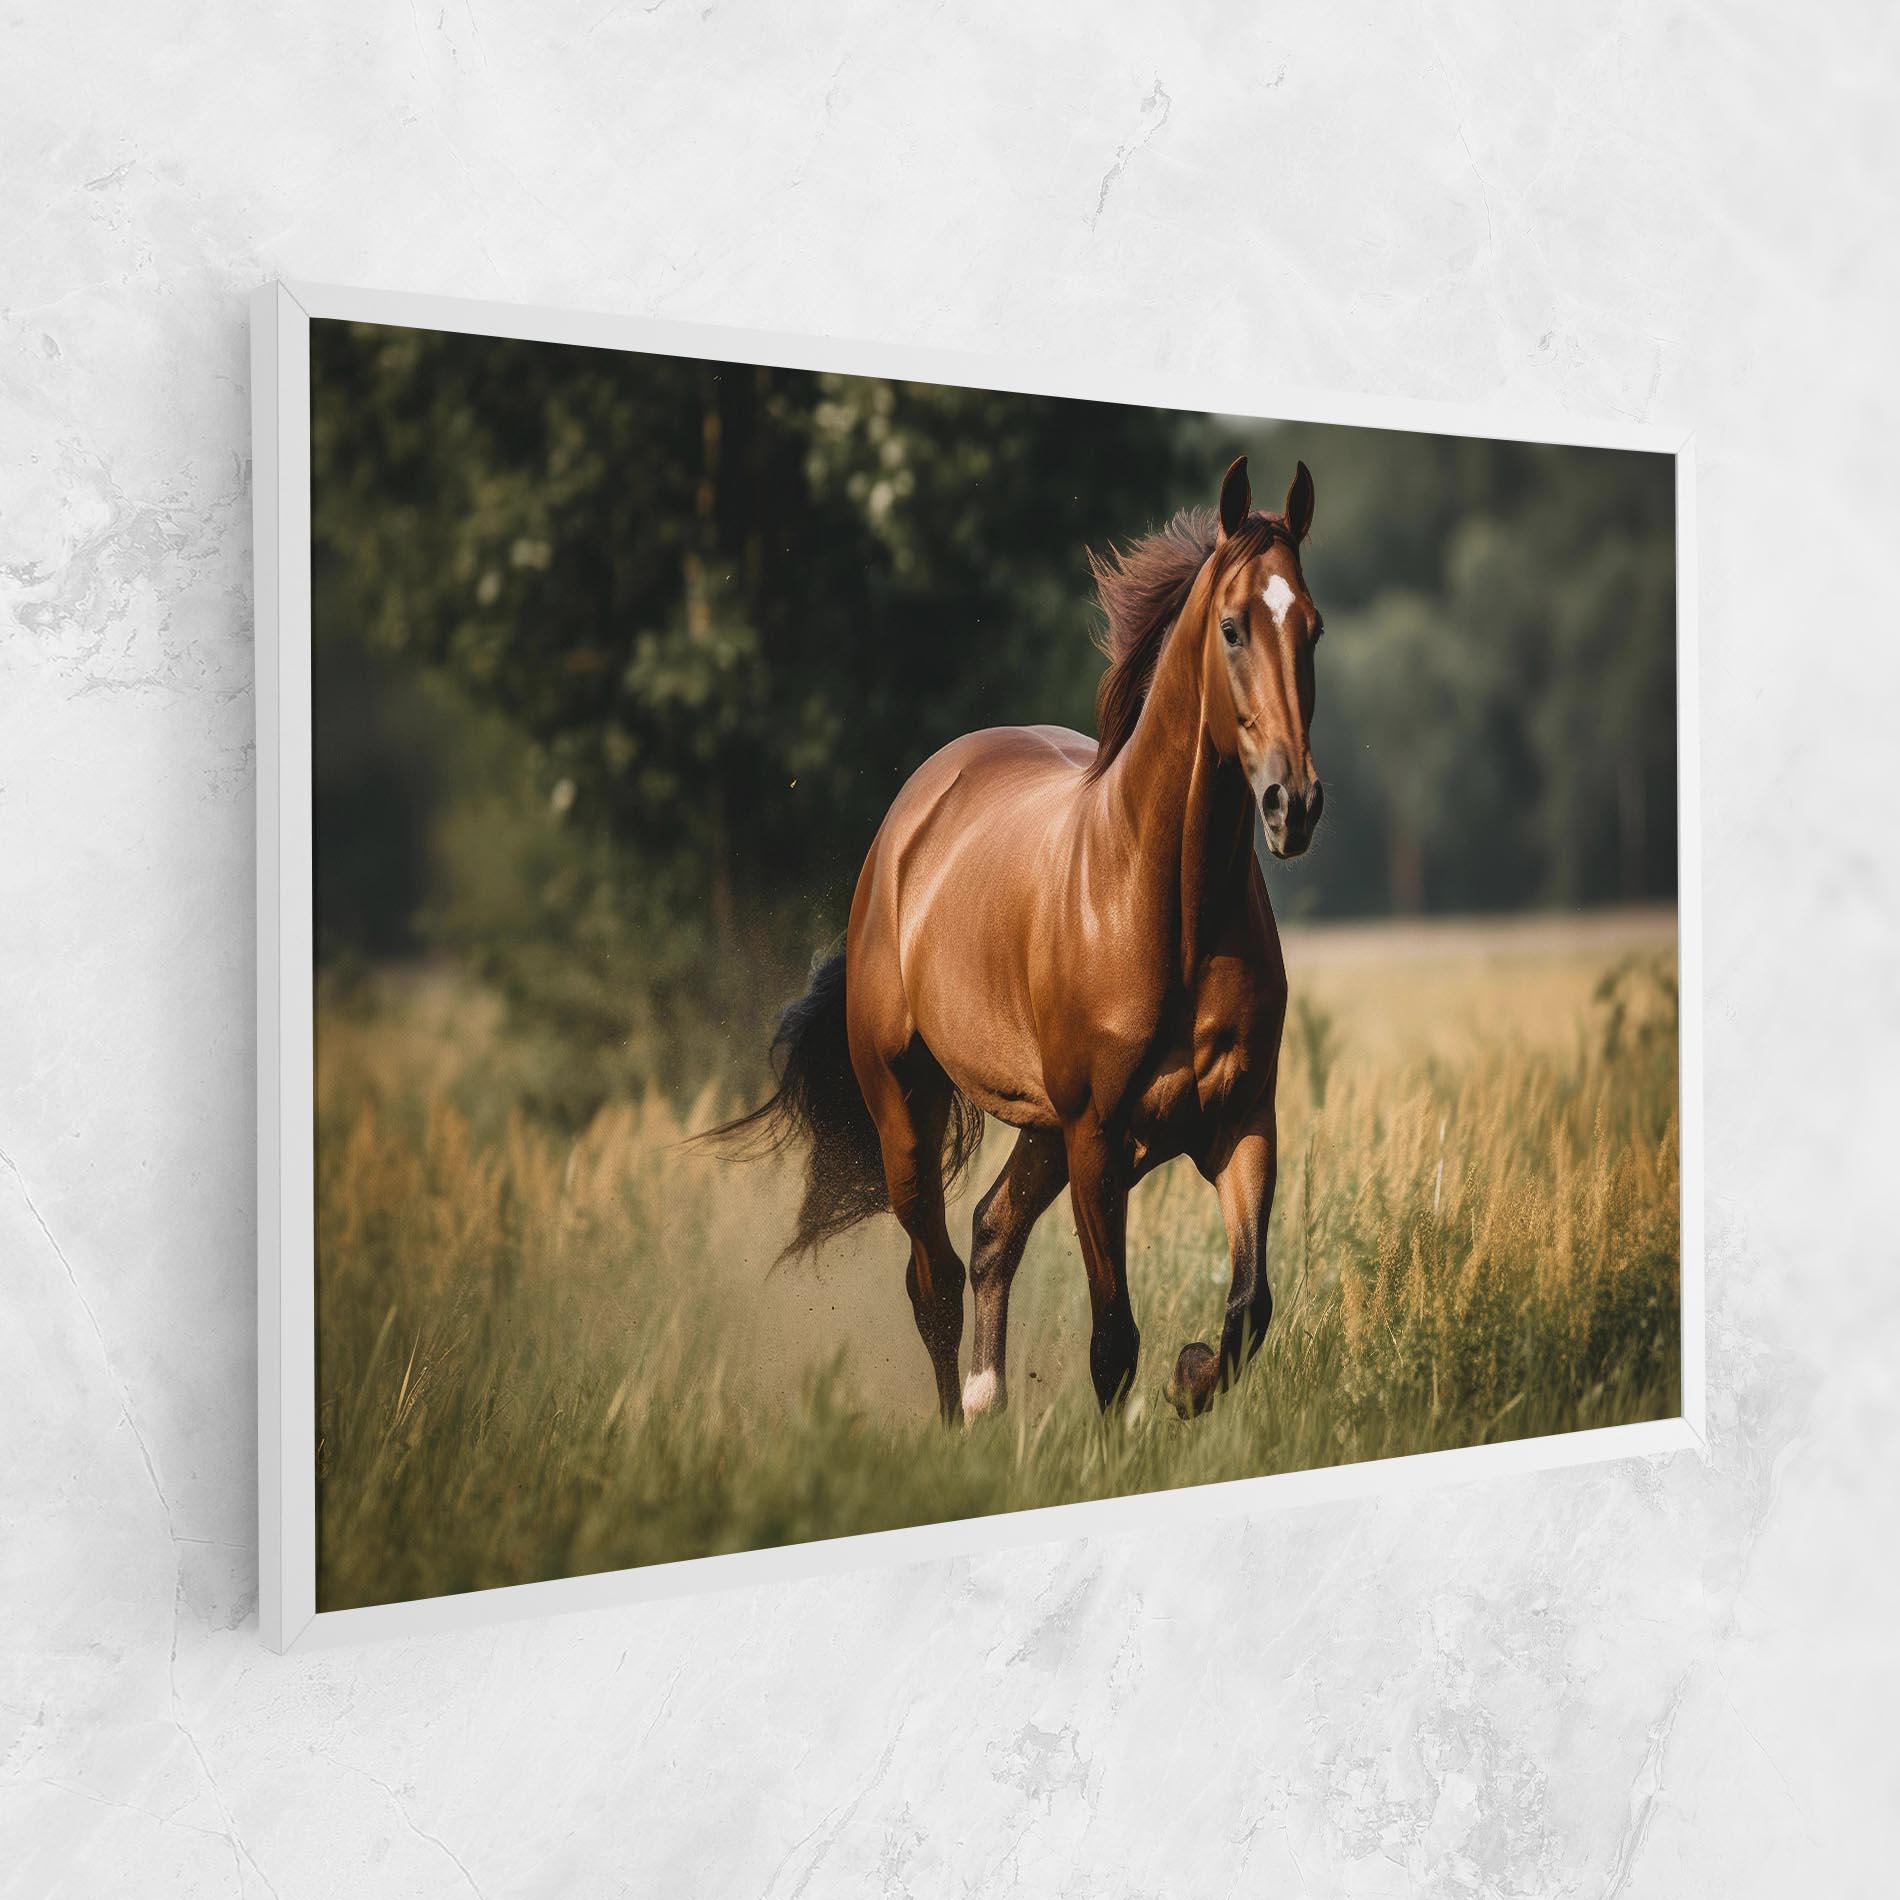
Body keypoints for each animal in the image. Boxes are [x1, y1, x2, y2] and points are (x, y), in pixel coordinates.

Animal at [711, 456, 1326, 1424]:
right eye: (1232, 627)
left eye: (1313, 628)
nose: (1292, 806)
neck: (1167, 910)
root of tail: (903, 830)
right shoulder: (1098, 1138)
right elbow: (1113, 1341)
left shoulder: (1241, 1119)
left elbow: (1248, 1307)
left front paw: (1191, 1376)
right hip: (909, 1111)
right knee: (934, 1278)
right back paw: (956, 1423)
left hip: (1040, 1127)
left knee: (993, 1230)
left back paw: (987, 1400)